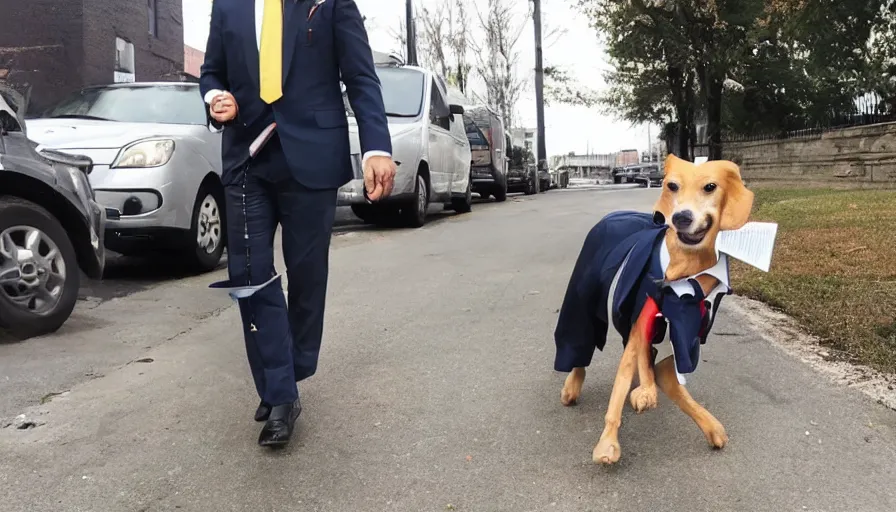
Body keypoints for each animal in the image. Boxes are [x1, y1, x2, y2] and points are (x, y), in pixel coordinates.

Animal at [556, 154, 752, 466]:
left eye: (711, 186)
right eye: (672, 185)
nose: (682, 217)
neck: (687, 271)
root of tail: (615, 214)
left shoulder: (689, 330)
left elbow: (669, 376)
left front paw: (709, 425)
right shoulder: (643, 317)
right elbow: (626, 379)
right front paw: (608, 443)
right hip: (583, 292)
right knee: (580, 337)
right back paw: (573, 384)